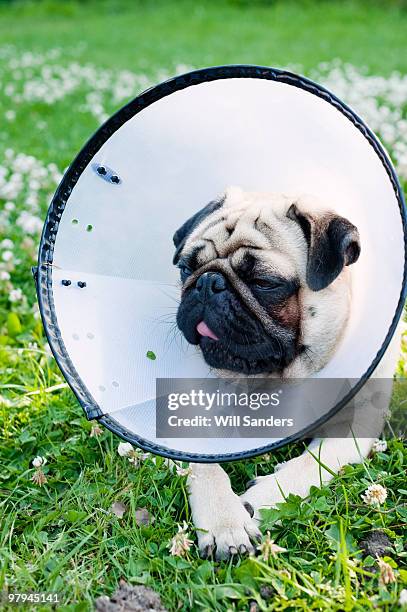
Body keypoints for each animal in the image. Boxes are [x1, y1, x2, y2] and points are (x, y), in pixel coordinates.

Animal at [172, 186, 402, 560]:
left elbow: (309, 466)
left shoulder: (354, 427)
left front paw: (257, 501)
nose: (207, 282)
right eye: (186, 268)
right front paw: (226, 521)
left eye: (265, 283)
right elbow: (203, 466)